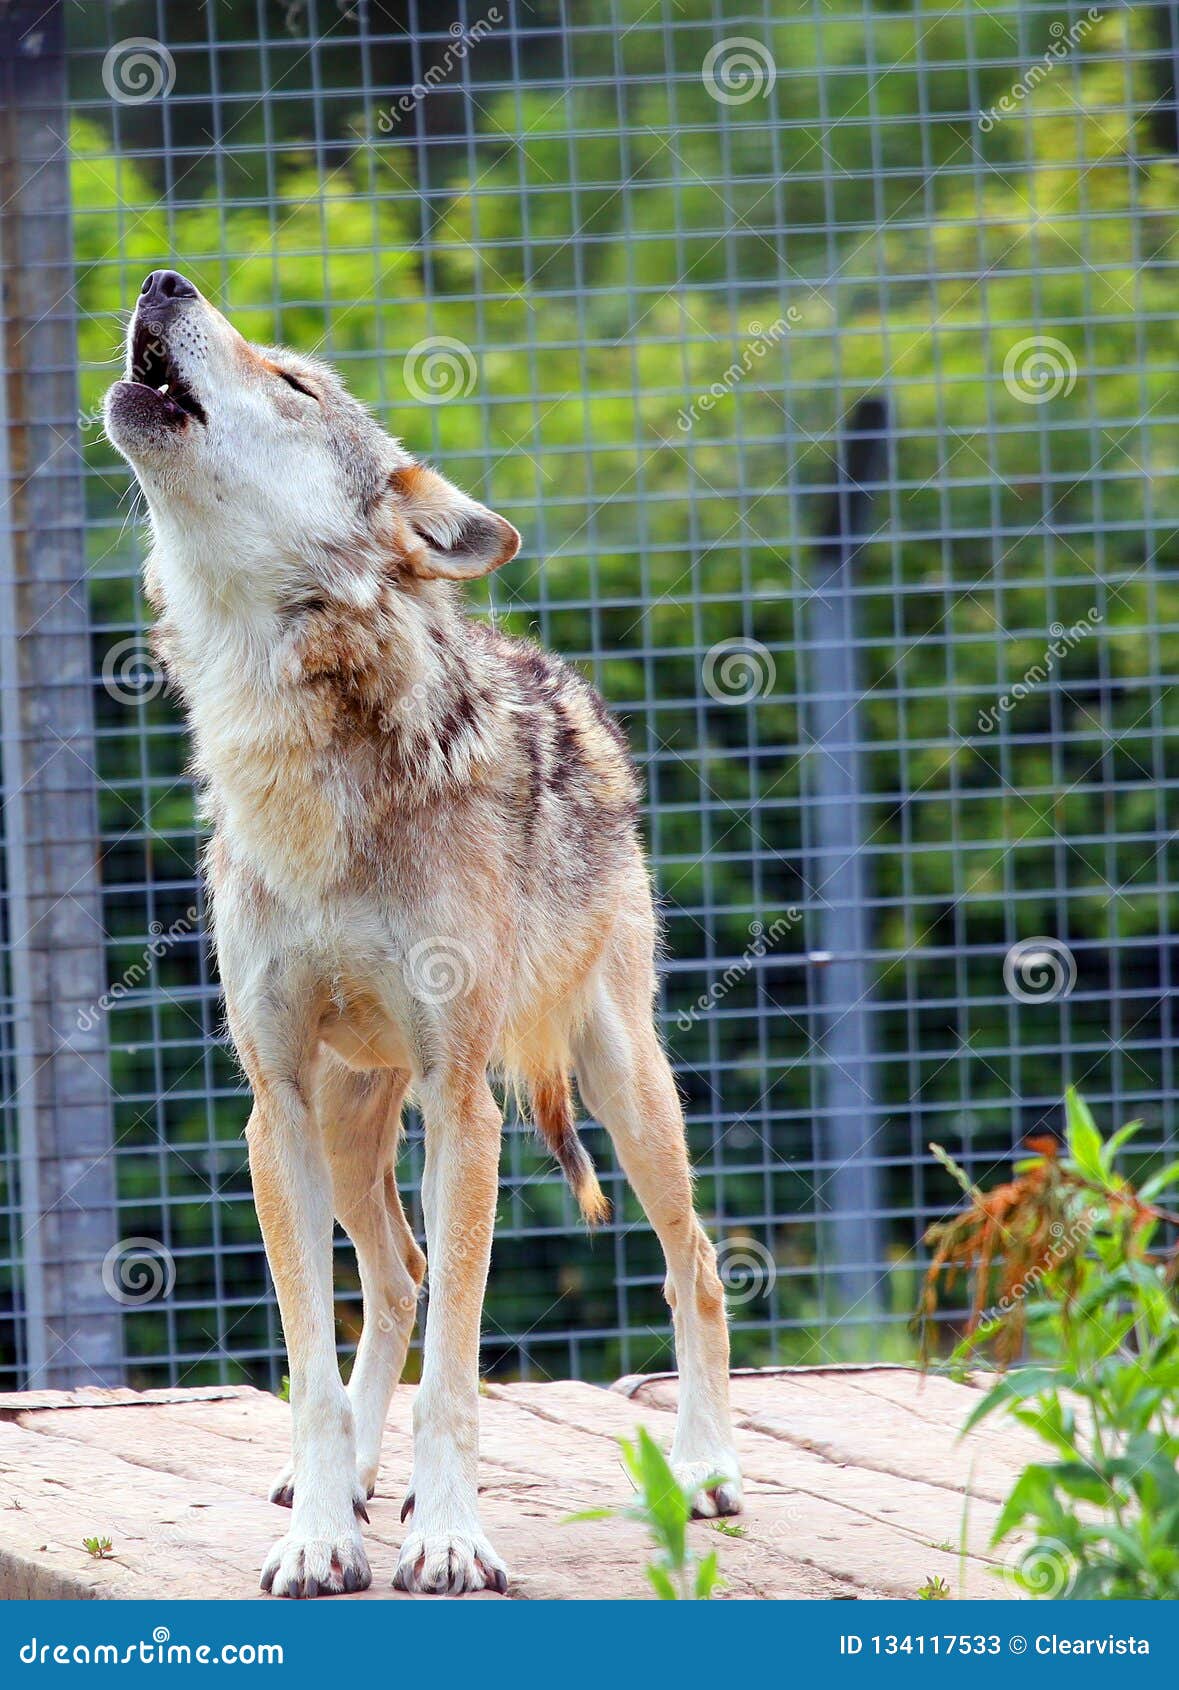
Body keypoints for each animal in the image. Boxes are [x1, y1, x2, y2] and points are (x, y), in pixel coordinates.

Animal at [105, 270, 739, 1602]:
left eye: (294, 382)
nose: (164, 280)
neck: (295, 754)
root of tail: (565, 681)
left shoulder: (463, 1100)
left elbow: (456, 1366)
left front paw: (445, 1536)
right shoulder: (274, 1101)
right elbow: (309, 1357)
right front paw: (322, 1534)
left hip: (621, 1086)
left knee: (695, 1259)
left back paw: (708, 1468)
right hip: (348, 1133)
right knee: (391, 1278)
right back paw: (345, 1474)